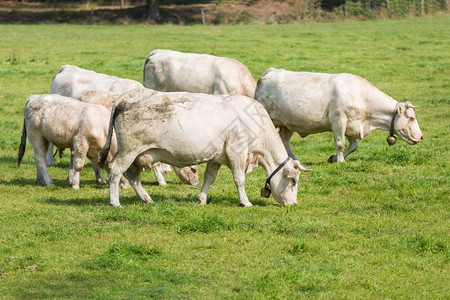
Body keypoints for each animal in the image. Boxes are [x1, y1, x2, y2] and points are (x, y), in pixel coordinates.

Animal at [98, 88, 310, 207]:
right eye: (293, 181)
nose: (293, 204)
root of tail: (127, 96)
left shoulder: (217, 157)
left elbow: (209, 178)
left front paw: (201, 199)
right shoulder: (237, 152)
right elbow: (239, 179)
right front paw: (245, 202)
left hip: (136, 155)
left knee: (132, 176)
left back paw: (146, 199)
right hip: (128, 150)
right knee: (115, 170)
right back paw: (114, 202)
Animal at [255, 68, 424, 162]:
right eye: (411, 118)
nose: (421, 137)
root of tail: (270, 72)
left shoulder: (352, 126)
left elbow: (354, 146)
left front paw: (334, 158)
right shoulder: (339, 121)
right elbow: (340, 143)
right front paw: (340, 160)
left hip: (286, 124)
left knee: (284, 141)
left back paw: (294, 159)